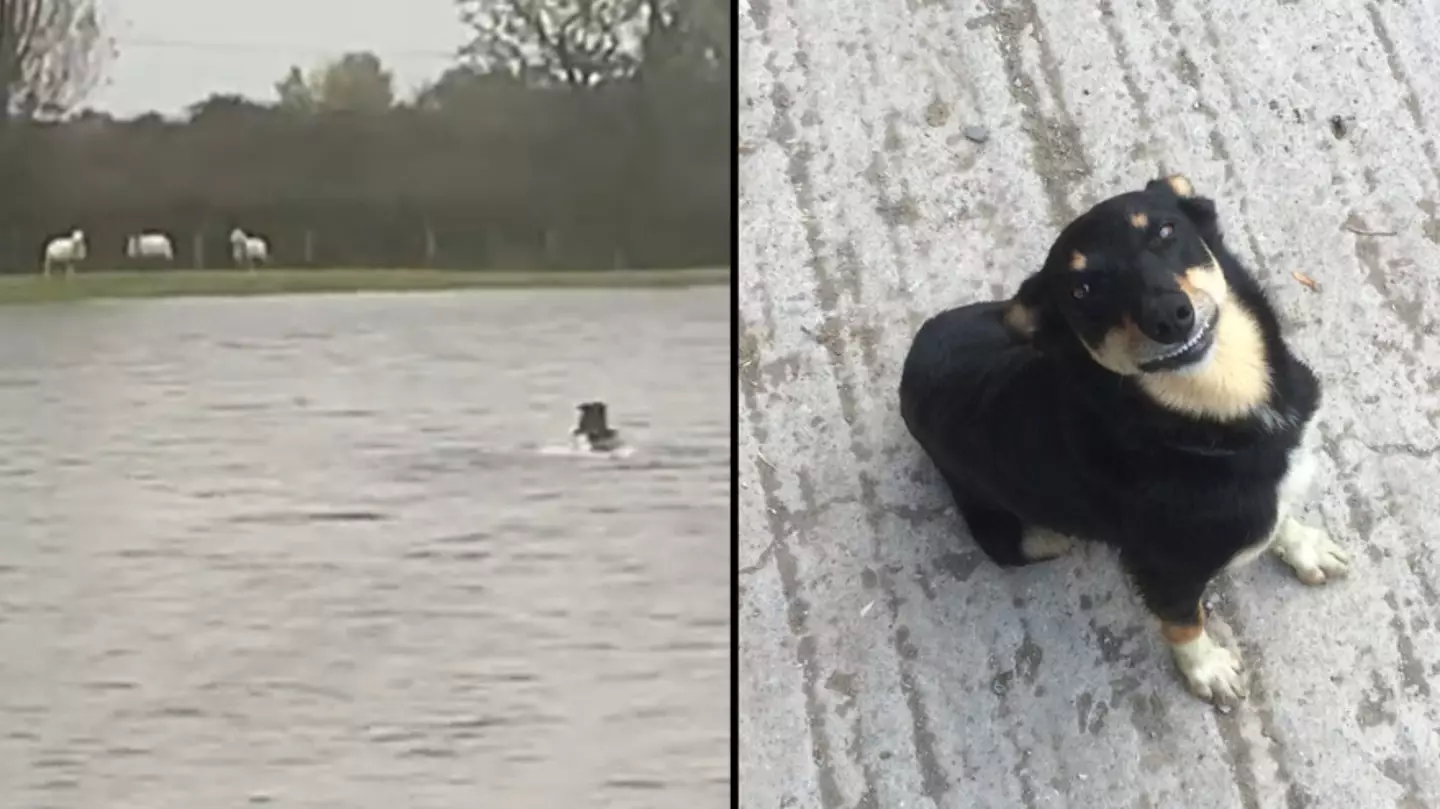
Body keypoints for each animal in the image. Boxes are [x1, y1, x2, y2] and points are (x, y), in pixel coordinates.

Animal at [898, 173, 1347, 702]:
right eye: (1082, 289)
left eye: (1165, 231)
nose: (1169, 316)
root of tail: (909, 369)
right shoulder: (1165, 572)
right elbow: (1183, 623)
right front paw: (1207, 668)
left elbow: (1281, 517)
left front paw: (1304, 544)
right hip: (1019, 535)